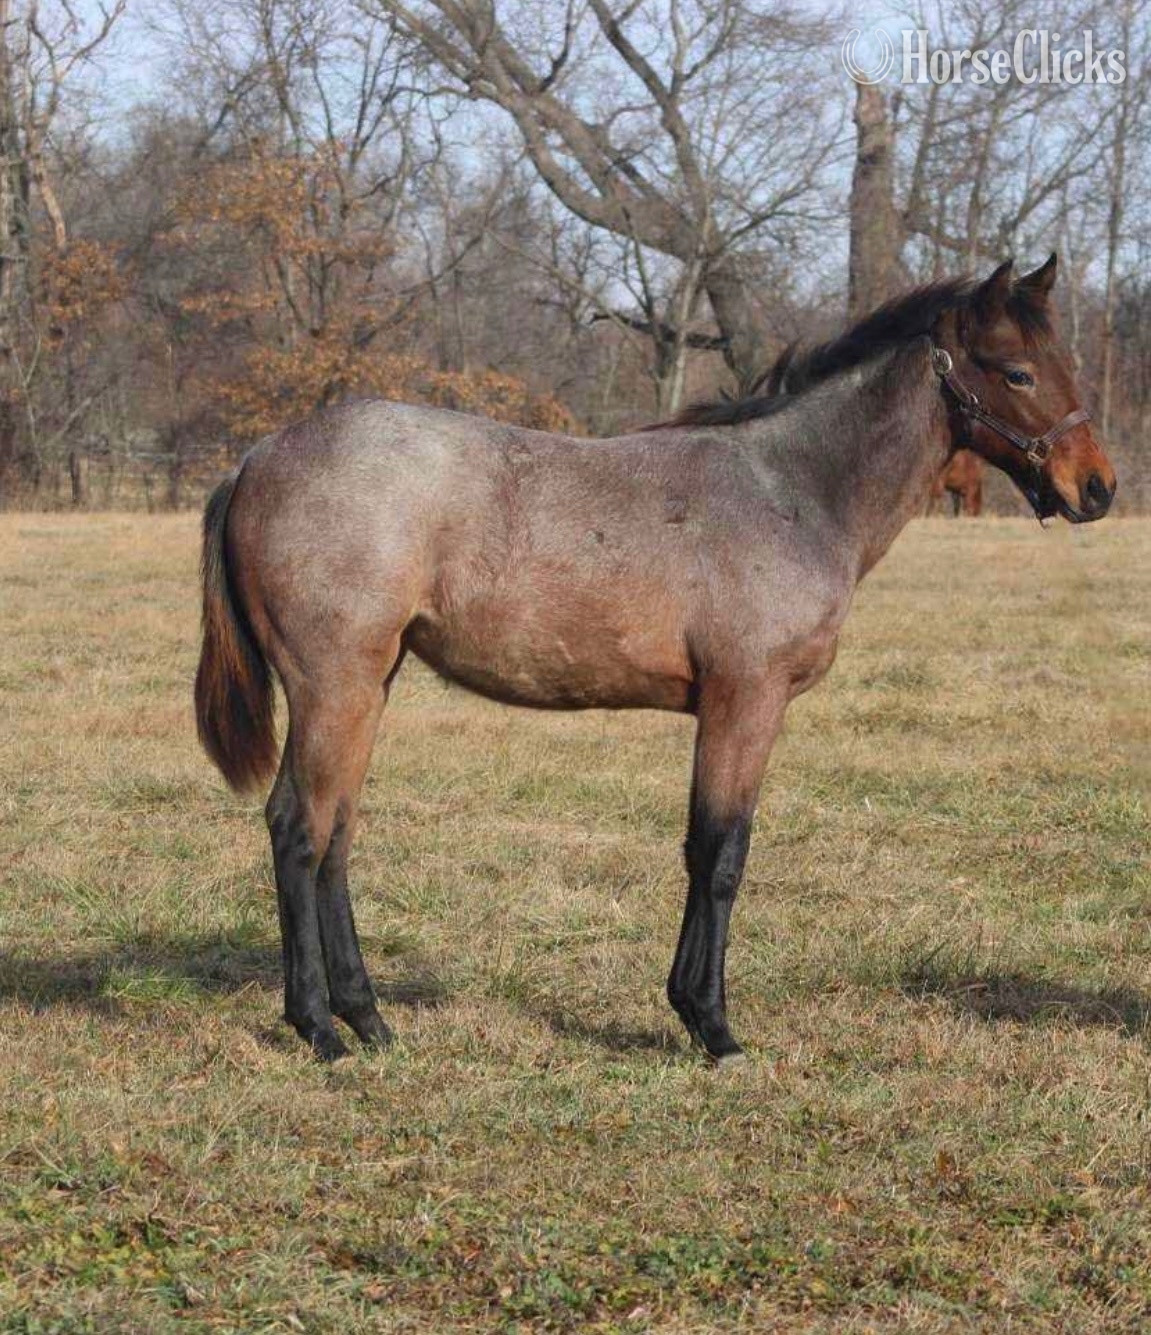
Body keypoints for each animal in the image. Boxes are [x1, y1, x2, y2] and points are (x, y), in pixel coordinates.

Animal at [194, 254, 1115, 1065]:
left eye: (1065, 360)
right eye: (1015, 371)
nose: (1096, 487)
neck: (790, 490)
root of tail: (256, 458)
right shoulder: (745, 699)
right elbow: (719, 852)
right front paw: (710, 1025)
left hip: (369, 685)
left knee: (337, 833)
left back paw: (370, 1021)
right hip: (333, 683)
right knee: (299, 829)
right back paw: (318, 1029)